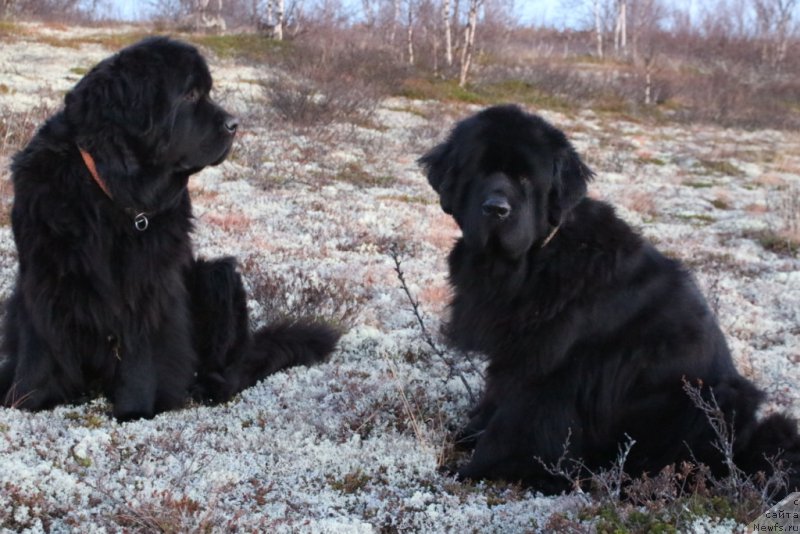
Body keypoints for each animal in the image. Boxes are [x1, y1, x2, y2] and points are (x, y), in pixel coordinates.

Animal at [0, 37, 340, 422]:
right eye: (190, 95)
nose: (235, 124)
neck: (115, 194)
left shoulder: (150, 282)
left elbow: (143, 350)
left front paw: (135, 410)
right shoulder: (43, 272)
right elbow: (39, 342)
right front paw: (26, 400)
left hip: (217, 277)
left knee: (231, 367)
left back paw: (206, 386)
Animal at [422, 104, 796, 498]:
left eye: (525, 179)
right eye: (479, 170)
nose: (496, 208)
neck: (535, 259)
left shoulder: (550, 374)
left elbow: (512, 425)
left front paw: (471, 470)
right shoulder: (514, 354)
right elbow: (493, 401)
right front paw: (467, 435)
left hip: (716, 400)